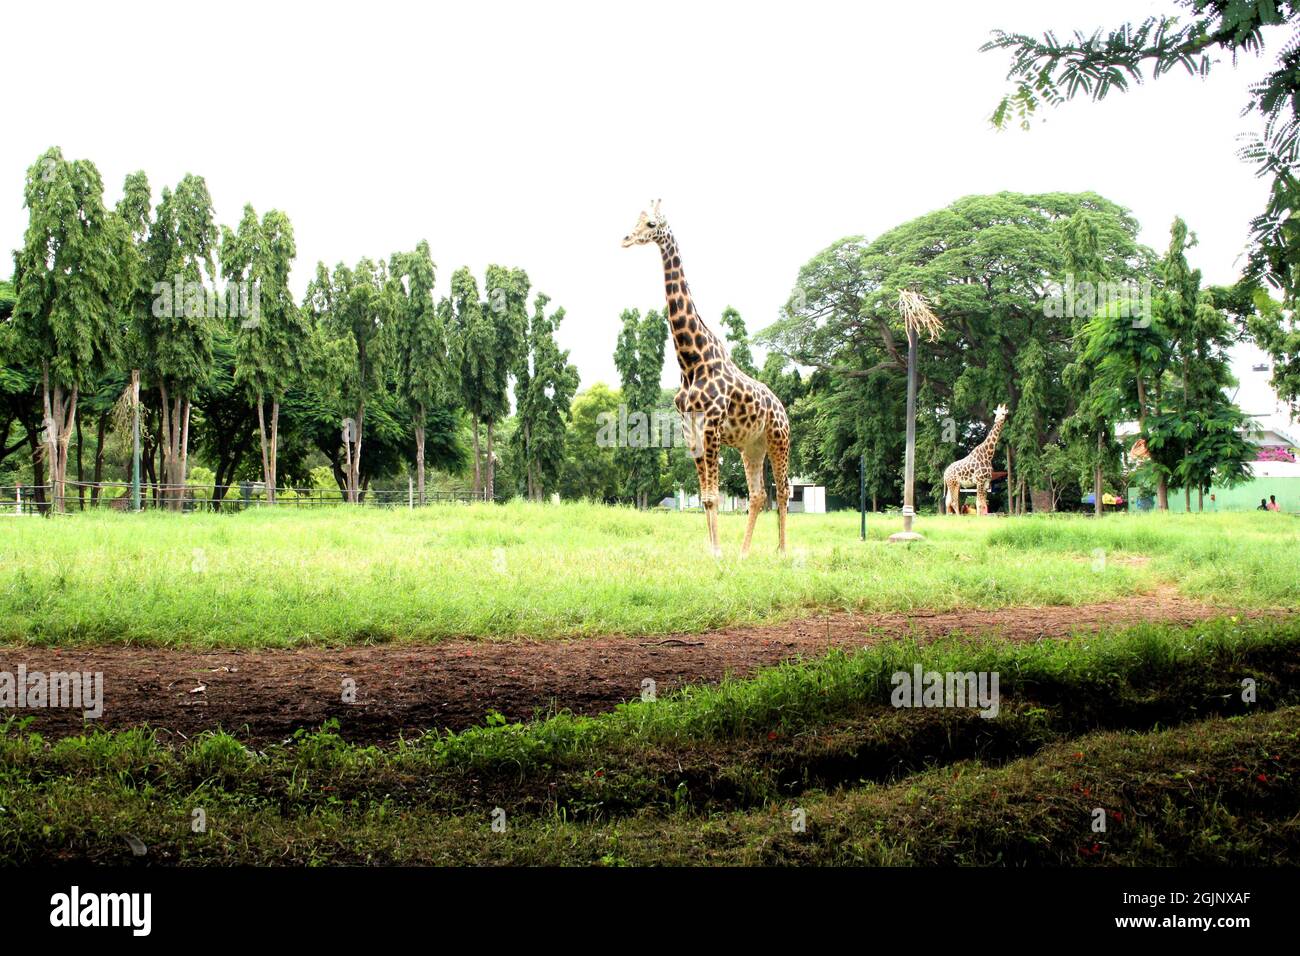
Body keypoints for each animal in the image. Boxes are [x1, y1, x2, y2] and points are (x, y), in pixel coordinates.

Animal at [621, 201, 790, 561]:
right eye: (637, 219)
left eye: (651, 224)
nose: (626, 239)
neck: (691, 360)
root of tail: (782, 408)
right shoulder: (690, 427)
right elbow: (706, 497)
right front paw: (715, 551)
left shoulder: (711, 424)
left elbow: (712, 495)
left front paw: (717, 552)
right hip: (752, 447)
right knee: (758, 495)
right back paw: (744, 553)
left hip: (778, 440)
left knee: (782, 490)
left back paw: (782, 552)